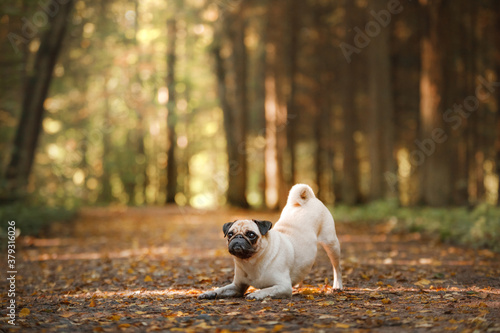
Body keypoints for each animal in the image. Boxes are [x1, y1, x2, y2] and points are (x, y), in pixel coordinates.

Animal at [197, 183, 342, 300]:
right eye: (230, 234)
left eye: (251, 235)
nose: (238, 238)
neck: (251, 262)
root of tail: (309, 199)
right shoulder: (237, 286)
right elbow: (222, 289)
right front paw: (209, 293)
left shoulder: (283, 286)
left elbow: (267, 290)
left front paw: (256, 294)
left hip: (331, 243)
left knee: (336, 267)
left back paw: (337, 286)